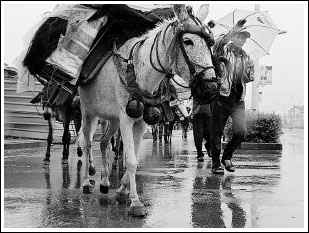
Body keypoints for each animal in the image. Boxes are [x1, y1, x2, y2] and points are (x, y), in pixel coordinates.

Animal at [78, 4, 215, 217]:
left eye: (210, 44)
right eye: (188, 41)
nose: (212, 87)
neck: (138, 70)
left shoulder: (140, 121)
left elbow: (132, 156)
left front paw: (122, 190)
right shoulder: (126, 119)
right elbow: (131, 160)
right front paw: (135, 202)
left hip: (112, 119)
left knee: (103, 142)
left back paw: (105, 182)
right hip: (88, 113)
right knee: (86, 143)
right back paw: (86, 182)